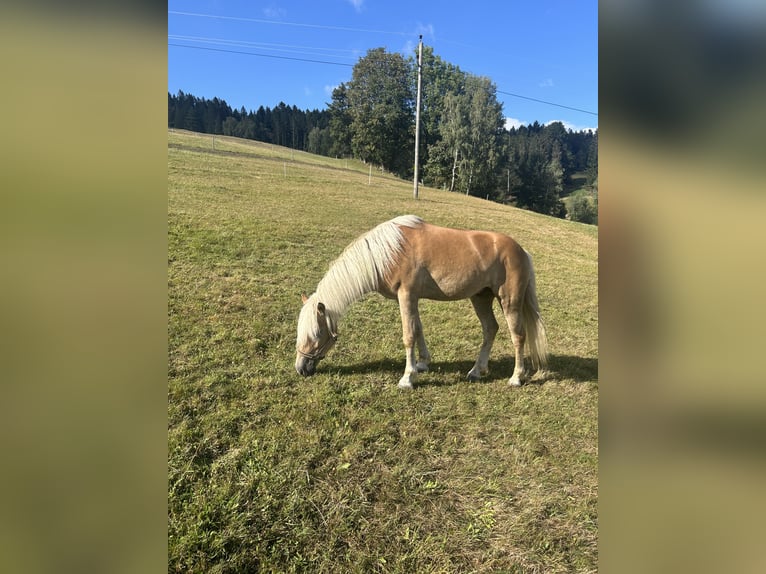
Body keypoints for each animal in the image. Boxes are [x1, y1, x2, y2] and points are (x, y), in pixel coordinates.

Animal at [296, 216, 552, 392]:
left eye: (317, 334)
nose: (300, 368)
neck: (389, 252)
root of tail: (521, 251)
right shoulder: (412, 298)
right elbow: (418, 329)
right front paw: (422, 364)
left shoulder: (406, 295)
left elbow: (409, 335)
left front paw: (407, 379)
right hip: (480, 298)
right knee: (490, 329)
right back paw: (476, 371)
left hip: (510, 302)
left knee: (518, 336)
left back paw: (516, 377)